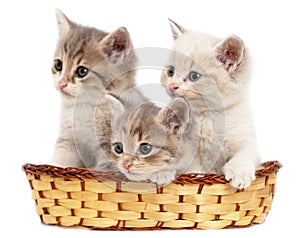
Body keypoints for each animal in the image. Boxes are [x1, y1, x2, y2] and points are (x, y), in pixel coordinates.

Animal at [161, 19, 262, 189]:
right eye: (170, 72)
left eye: (194, 76)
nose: (172, 86)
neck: (207, 116)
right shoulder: (187, 149)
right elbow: (193, 169)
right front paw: (198, 178)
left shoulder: (246, 140)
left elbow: (245, 155)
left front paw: (240, 173)